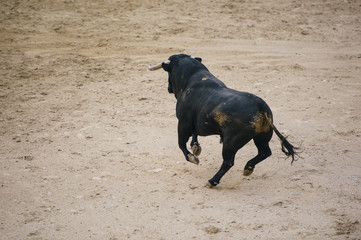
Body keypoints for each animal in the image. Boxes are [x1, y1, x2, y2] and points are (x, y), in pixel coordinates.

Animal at [148, 54, 296, 188]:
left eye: (169, 71)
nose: (169, 88)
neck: (192, 79)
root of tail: (260, 104)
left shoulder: (183, 122)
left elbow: (181, 144)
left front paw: (193, 157)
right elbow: (194, 135)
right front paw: (196, 147)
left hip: (230, 142)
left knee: (228, 161)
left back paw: (212, 181)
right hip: (261, 137)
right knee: (265, 152)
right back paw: (248, 168)